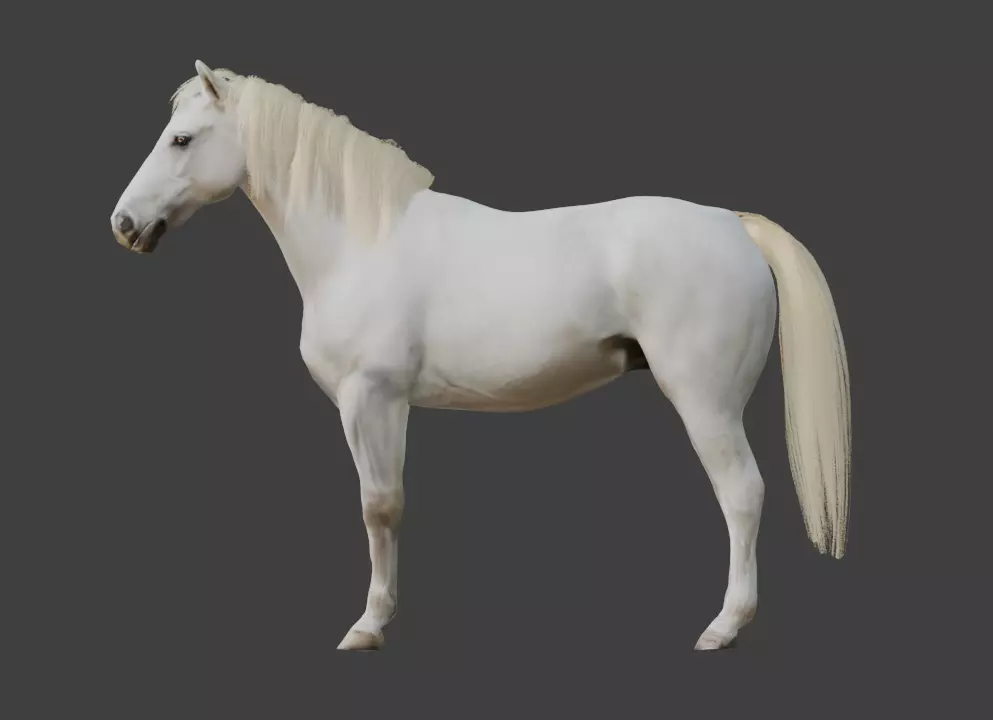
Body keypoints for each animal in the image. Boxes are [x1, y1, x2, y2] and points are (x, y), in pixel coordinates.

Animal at [111, 61, 852, 652]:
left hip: (705, 403)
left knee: (742, 495)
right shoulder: (382, 406)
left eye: (181, 139)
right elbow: (385, 505)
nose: (123, 225)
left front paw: (368, 627)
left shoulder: (371, 399)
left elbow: (379, 507)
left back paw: (723, 627)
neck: (361, 242)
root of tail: (732, 225)